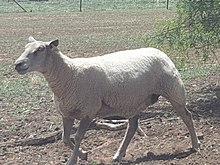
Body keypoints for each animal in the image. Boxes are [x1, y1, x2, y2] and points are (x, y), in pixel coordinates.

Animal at [15, 36, 201, 164]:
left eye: (39, 49)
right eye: (25, 48)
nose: (18, 64)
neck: (70, 74)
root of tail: (160, 52)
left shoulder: (88, 111)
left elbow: (79, 136)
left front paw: (73, 159)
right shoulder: (67, 113)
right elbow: (65, 138)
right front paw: (82, 155)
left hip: (174, 91)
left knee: (187, 116)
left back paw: (195, 144)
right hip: (134, 101)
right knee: (132, 127)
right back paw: (119, 154)